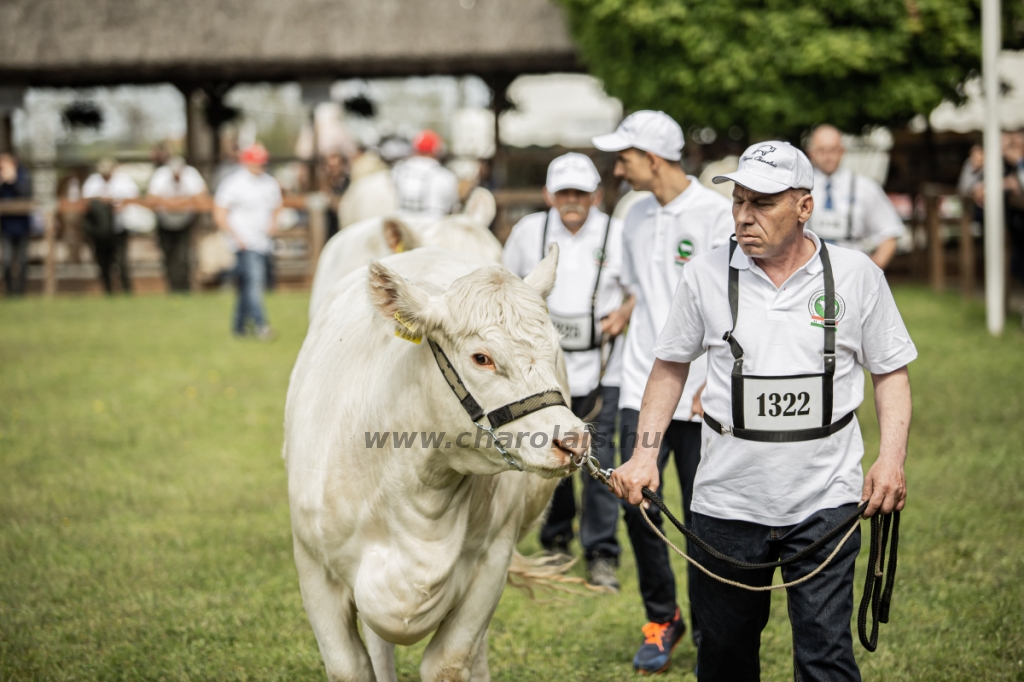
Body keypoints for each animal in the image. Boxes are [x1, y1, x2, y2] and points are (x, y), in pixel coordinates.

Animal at [284, 245, 589, 679]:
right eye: (482, 358)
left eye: (554, 346)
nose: (573, 441)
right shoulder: (314, 570)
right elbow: (350, 667)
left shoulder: (491, 565)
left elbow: (449, 661)